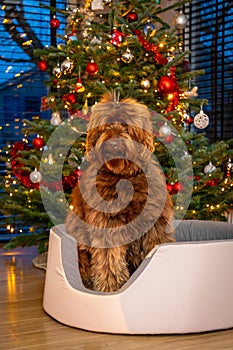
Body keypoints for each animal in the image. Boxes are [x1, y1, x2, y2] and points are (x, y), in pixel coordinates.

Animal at [65, 93, 175, 292]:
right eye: (106, 125)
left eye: (126, 125)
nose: (114, 144)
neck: (123, 176)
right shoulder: (107, 223)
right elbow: (109, 259)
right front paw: (112, 287)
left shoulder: (154, 224)